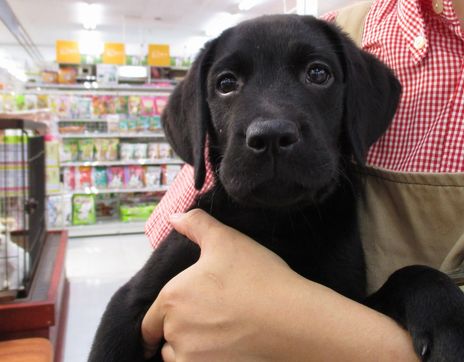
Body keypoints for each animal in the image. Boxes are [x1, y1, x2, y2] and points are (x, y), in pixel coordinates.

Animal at [89, 15, 464, 360]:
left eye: (318, 73)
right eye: (226, 83)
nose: (270, 136)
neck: (275, 221)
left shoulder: (347, 297)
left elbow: (412, 273)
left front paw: (448, 320)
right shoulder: (130, 302)